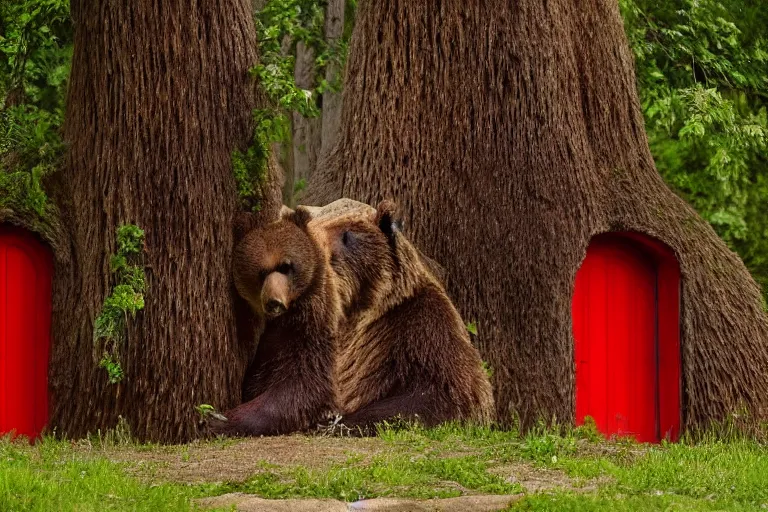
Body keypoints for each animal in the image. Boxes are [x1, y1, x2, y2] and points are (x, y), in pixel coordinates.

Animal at [212, 209, 340, 436]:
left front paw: (220, 419)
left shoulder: (304, 339)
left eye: (286, 266)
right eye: (261, 272)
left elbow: (297, 390)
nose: (274, 302)